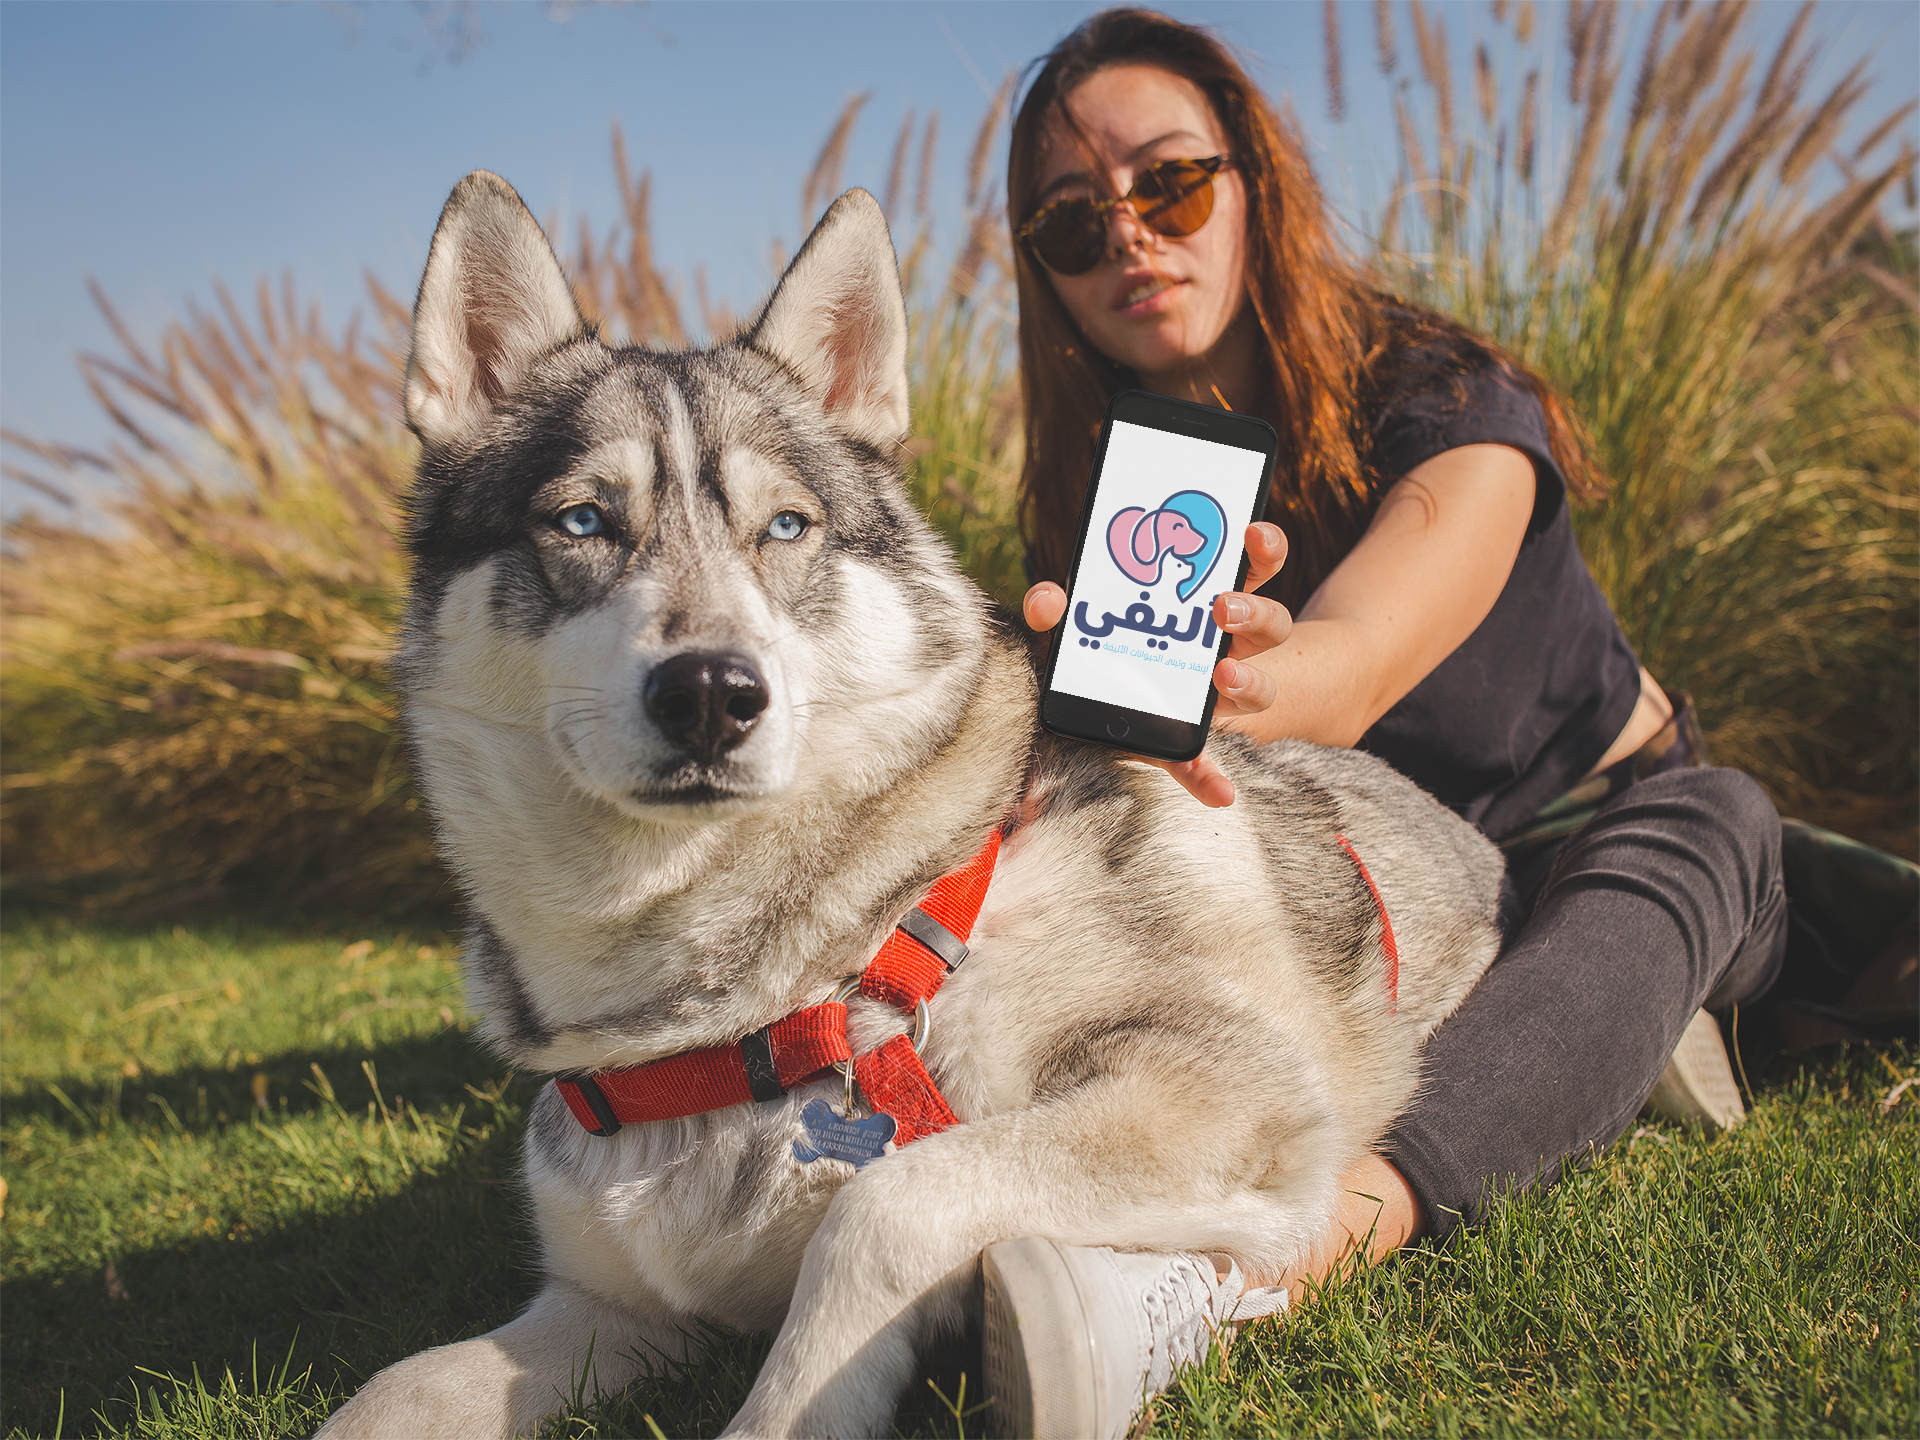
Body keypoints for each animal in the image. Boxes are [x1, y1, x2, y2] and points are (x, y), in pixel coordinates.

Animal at [318, 171, 1497, 1440]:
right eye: (582, 521)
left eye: (786, 526)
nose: (711, 695)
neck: (755, 1016)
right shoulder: (614, 1308)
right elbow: (396, 1387)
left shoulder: (1226, 1092)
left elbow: (880, 1207)